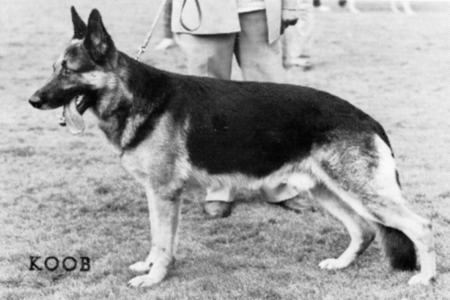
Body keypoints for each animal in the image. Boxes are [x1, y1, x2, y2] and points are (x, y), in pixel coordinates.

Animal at [29, 8, 436, 288]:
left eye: (68, 70)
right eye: (52, 67)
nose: (33, 100)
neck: (136, 97)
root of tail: (368, 119)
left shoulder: (164, 193)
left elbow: (163, 241)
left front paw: (154, 278)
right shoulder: (156, 194)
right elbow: (157, 238)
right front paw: (149, 266)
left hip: (361, 192)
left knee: (421, 225)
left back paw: (425, 278)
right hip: (327, 190)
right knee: (364, 230)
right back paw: (341, 263)